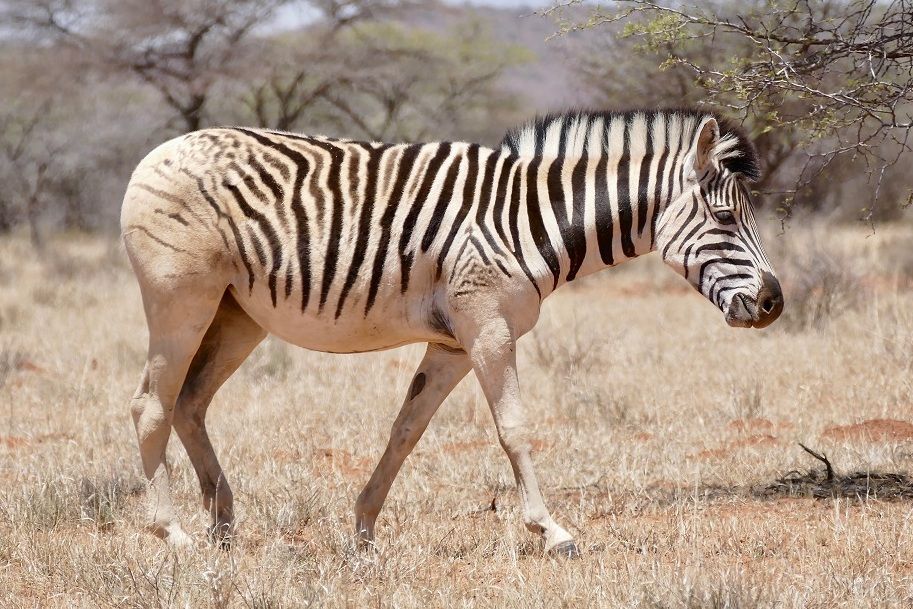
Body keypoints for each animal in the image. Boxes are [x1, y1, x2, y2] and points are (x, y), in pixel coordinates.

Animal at [121, 108, 783, 557]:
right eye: (725, 218)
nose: (774, 302)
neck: (530, 221)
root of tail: (158, 151)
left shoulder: (452, 342)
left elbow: (406, 430)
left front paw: (363, 528)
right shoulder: (488, 326)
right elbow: (513, 428)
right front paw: (551, 530)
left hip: (238, 315)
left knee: (190, 402)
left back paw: (223, 521)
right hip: (181, 301)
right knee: (151, 405)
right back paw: (174, 533)